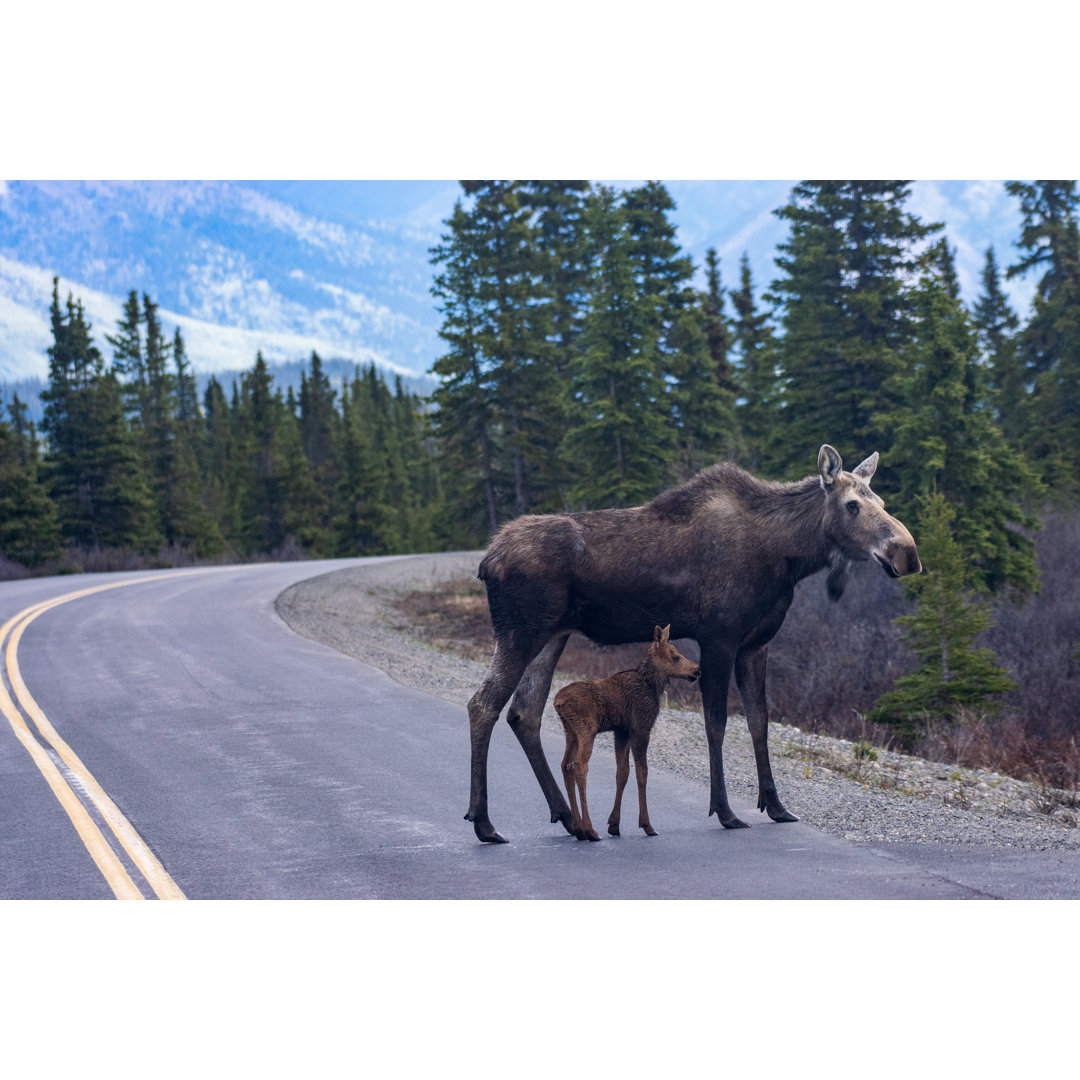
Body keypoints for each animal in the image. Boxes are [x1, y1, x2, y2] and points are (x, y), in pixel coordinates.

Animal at [557, 626, 699, 842]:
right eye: (675, 656)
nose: (697, 670)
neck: (653, 685)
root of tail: (557, 702)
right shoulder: (641, 727)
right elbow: (642, 773)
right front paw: (647, 825)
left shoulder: (622, 731)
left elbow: (622, 772)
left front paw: (614, 824)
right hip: (586, 729)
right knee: (579, 766)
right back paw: (589, 830)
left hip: (570, 731)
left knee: (566, 765)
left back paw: (579, 829)